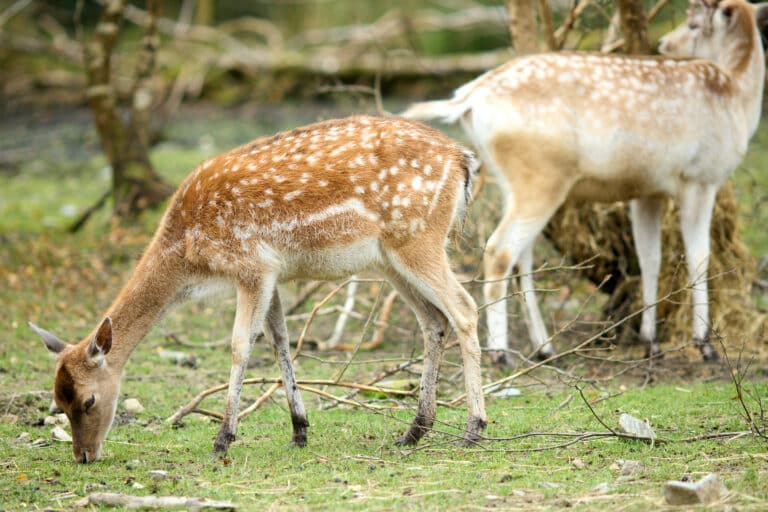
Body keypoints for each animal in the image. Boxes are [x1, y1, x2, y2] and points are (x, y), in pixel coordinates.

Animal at [31, 115, 487, 463]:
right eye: (58, 402)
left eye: (88, 401)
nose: (84, 456)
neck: (189, 256)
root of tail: (463, 160)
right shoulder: (273, 274)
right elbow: (279, 339)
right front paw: (299, 430)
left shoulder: (251, 265)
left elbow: (239, 344)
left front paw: (222, 439)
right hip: (390, 259)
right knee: (433, 320)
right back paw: (414, 431)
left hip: (418, 238)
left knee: (465, 307)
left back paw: (473, 430)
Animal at [402, 0, 768, 365]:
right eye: (691, 22)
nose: (665, 44)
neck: (736, 98)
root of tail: (469, 97)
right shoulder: (700, 177)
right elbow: (699, 256)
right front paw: (705, 345)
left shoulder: (647, 191)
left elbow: (650, 258)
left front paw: (651, 343)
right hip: (540, 179)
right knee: (499, 250)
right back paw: (502, 353)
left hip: (513, 183)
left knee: (523, 256)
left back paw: (544, 347)